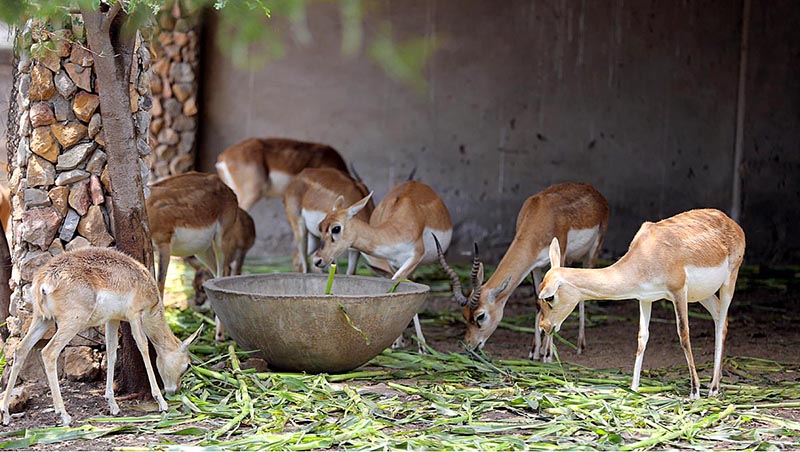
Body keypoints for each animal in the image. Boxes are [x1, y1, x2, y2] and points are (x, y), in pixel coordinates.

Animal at [1, 247, 202, 428]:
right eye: (187, 365)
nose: (174, 390)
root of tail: (45, 279)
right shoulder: (135, 316)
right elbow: (143, 347)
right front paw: (162, 403)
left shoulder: (112, 320)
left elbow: (112, 353)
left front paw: (113, 406)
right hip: (71, 323)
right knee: (48, 352)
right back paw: (64, 415)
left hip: (42, 319)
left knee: (20, 349)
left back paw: (6, 414)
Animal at [310, 181, 454, 354]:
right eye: (320, 226)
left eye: (336, 228)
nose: (317, 260)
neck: (397, 229)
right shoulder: (393, 262)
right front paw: (398, 342)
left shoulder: (415, 256)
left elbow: (398, 283)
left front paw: (422, 347)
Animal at [434, 182, 608, 362]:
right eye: (464, 314)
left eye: (480, 316)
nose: (470, 346)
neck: (541, 215)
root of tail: (595, 192)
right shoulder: (535, 265)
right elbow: (539, 302)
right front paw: (534, 351)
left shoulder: (560, 256)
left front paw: (547, 355)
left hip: (592, 253)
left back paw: (580, 346)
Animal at [536, 208, 748, 400]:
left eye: (549, 297)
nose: (543, 326)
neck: (647, 254)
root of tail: (731, 222)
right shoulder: (645, 298)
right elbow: (642, 338)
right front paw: (634, 387)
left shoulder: (678, 291)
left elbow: (684, 334)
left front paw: (694, 391)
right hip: (702, 294)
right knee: (721, 317)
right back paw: (716, 382)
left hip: (728, 281)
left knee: (721, 324)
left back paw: (713, 388)